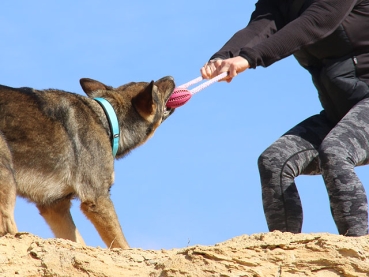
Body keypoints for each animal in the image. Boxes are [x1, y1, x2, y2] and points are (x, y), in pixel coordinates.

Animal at [0, 76, 175, 248]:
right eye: (157, 88)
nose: (171, 77)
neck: (107, 120)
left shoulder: (55, 206)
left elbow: (76, 241)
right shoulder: (97, 199)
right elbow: (122, 245)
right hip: (7, 173)